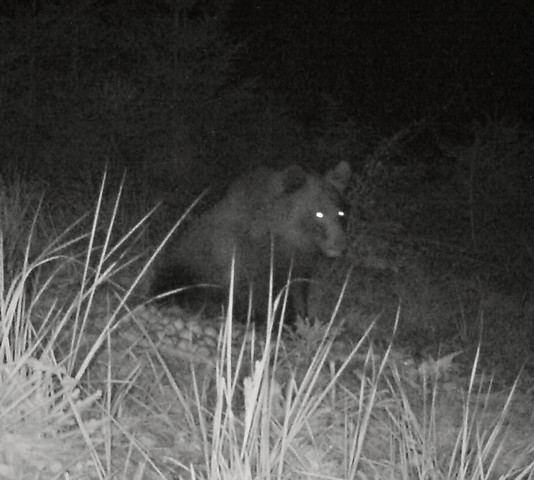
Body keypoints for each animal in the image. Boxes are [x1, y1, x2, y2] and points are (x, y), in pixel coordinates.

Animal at [151, 161, 352, 322]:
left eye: (341, 212)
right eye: (319, 213)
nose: (340, 244)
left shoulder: (301, 261)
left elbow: (298, 288)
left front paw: (302, 319)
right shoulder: (244, 256)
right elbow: (252, 291)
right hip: (182, 268)